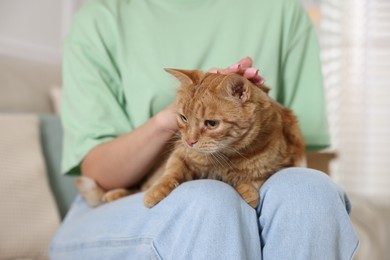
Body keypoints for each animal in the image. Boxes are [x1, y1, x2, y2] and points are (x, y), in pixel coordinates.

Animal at [75, 68, 304, 208]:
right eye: (183, 118)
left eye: (211, 124)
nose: (190, 140)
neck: (226, 157)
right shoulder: (180, 154)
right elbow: (170, 174)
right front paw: (155, 192)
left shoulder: (273, 165)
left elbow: (255, 179)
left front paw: (247, 190)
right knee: (138, 187)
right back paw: (115, 194)